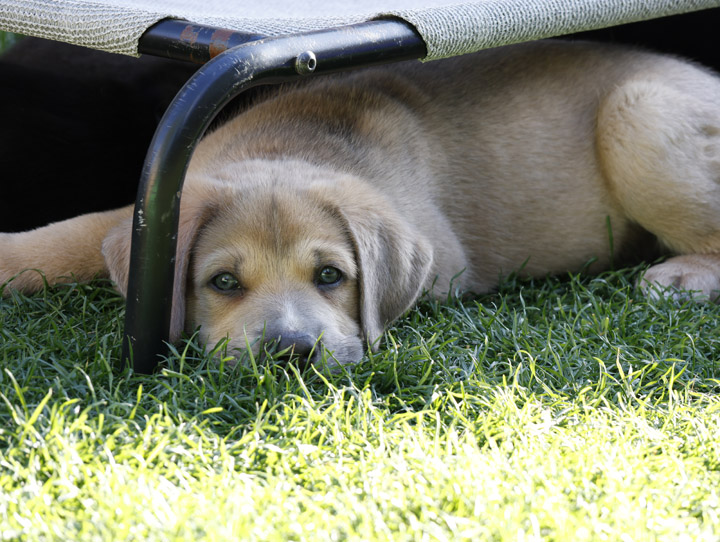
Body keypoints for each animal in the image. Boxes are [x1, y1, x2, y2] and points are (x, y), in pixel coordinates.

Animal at [1, 40, 720, 368]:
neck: (290, 145)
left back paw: (681, 277)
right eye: (223, 282)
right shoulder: (153, 208)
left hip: (639, 114)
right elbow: (59, 239)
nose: (291, 351)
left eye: (331, 276)